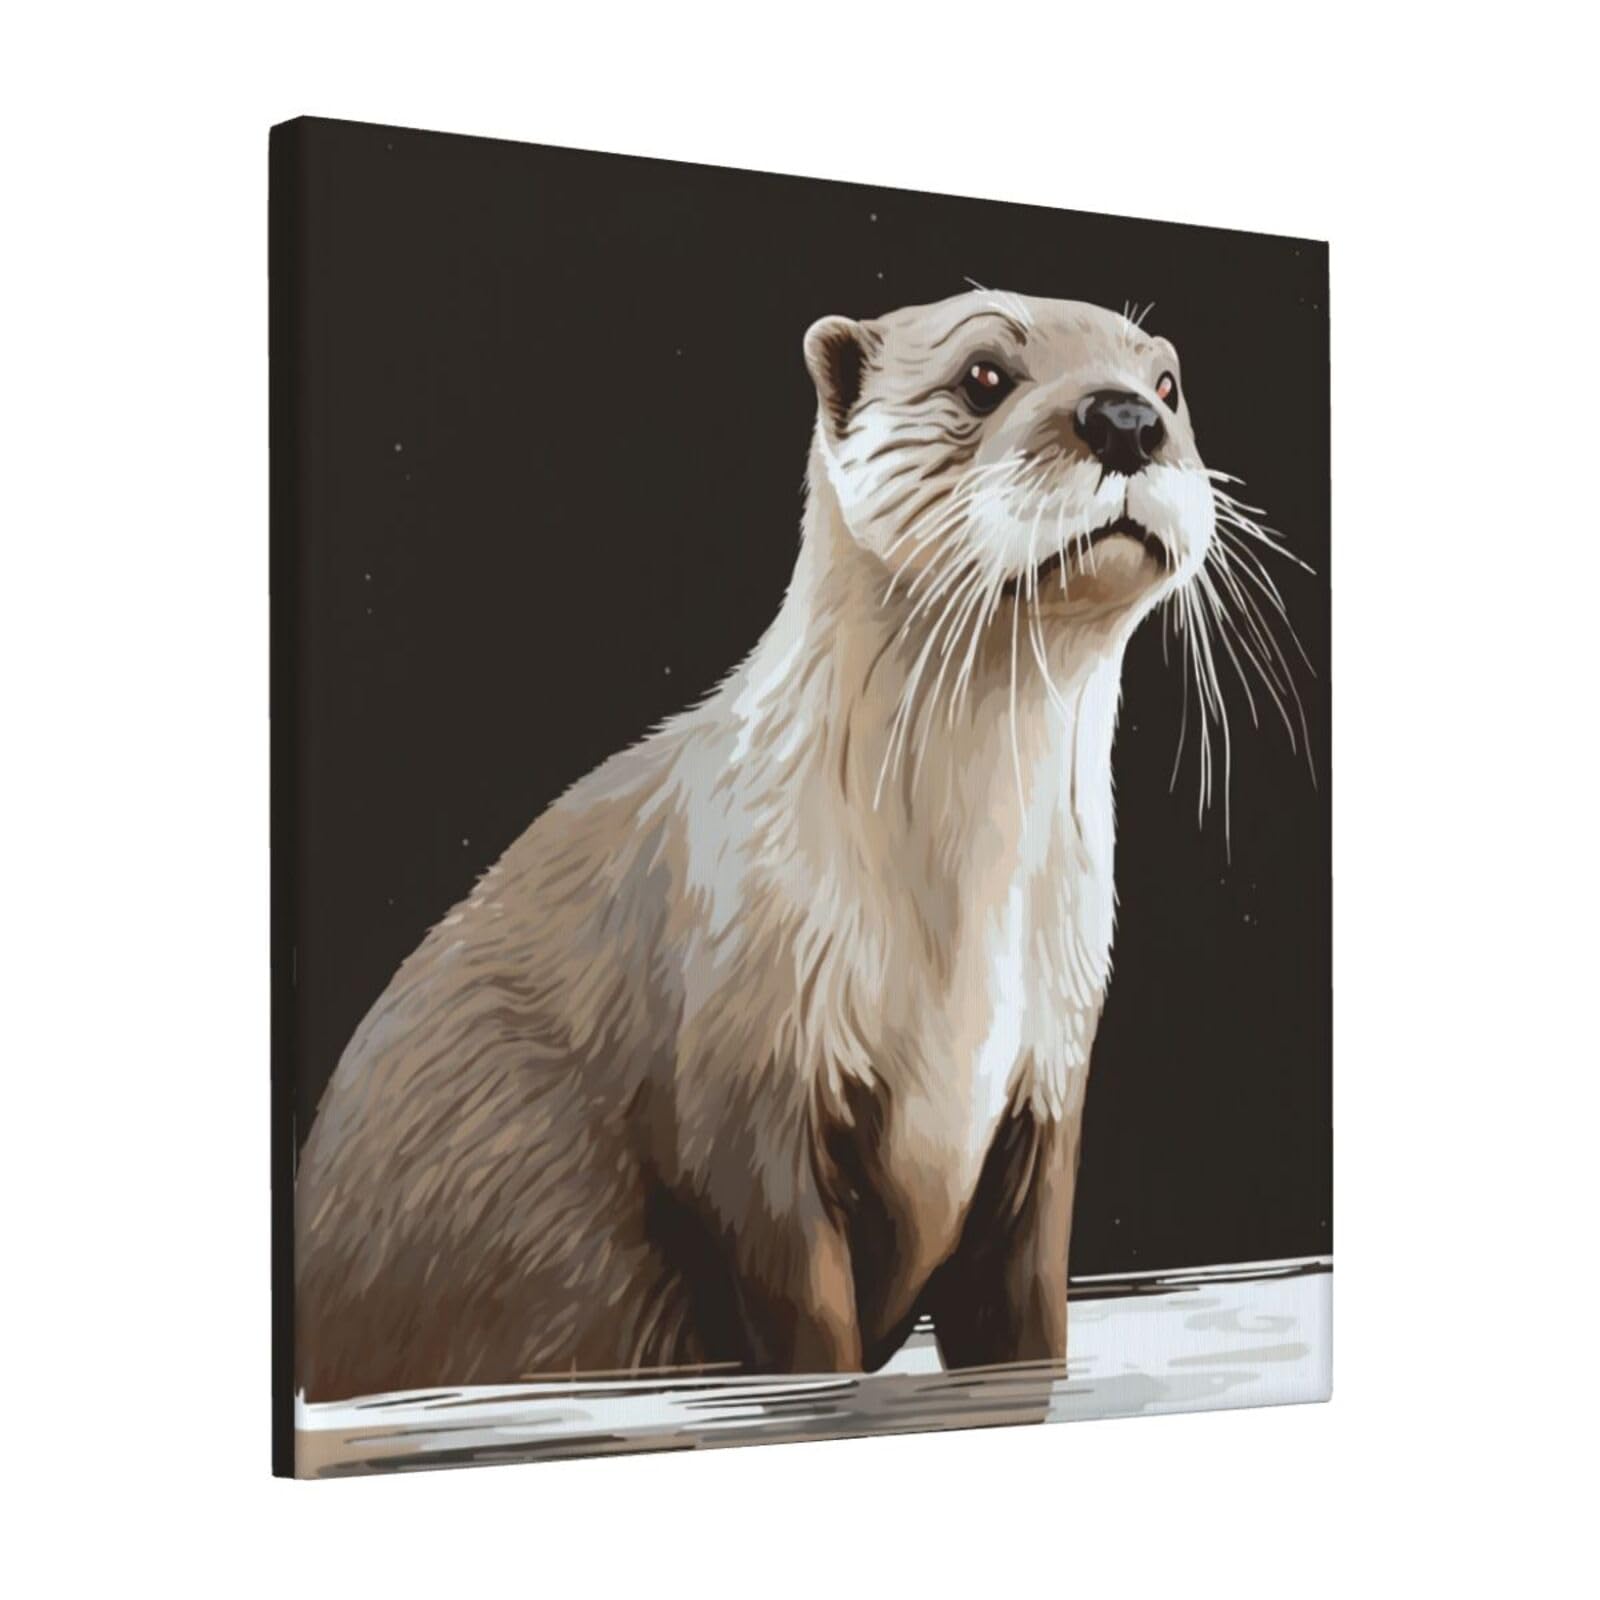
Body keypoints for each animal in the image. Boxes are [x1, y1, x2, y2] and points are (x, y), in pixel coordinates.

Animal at [295, 290, 1249, 1402]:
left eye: (1168, 385)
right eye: (983, 375)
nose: (1125, 419)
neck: (956, 940)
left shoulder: (1046, 1087)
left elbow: (1022, 1320)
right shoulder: (745, 1085)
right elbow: (802, 1320)